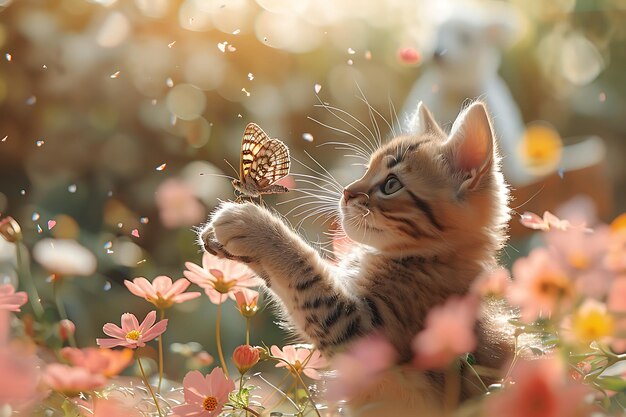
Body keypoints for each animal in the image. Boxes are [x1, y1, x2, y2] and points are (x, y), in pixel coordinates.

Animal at [200, 101, 512, 412]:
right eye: (366, 170)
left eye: (391, 184)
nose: (346, 192)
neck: (427, 259)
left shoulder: (367, 336)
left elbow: (306, 273)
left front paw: (251, 224)